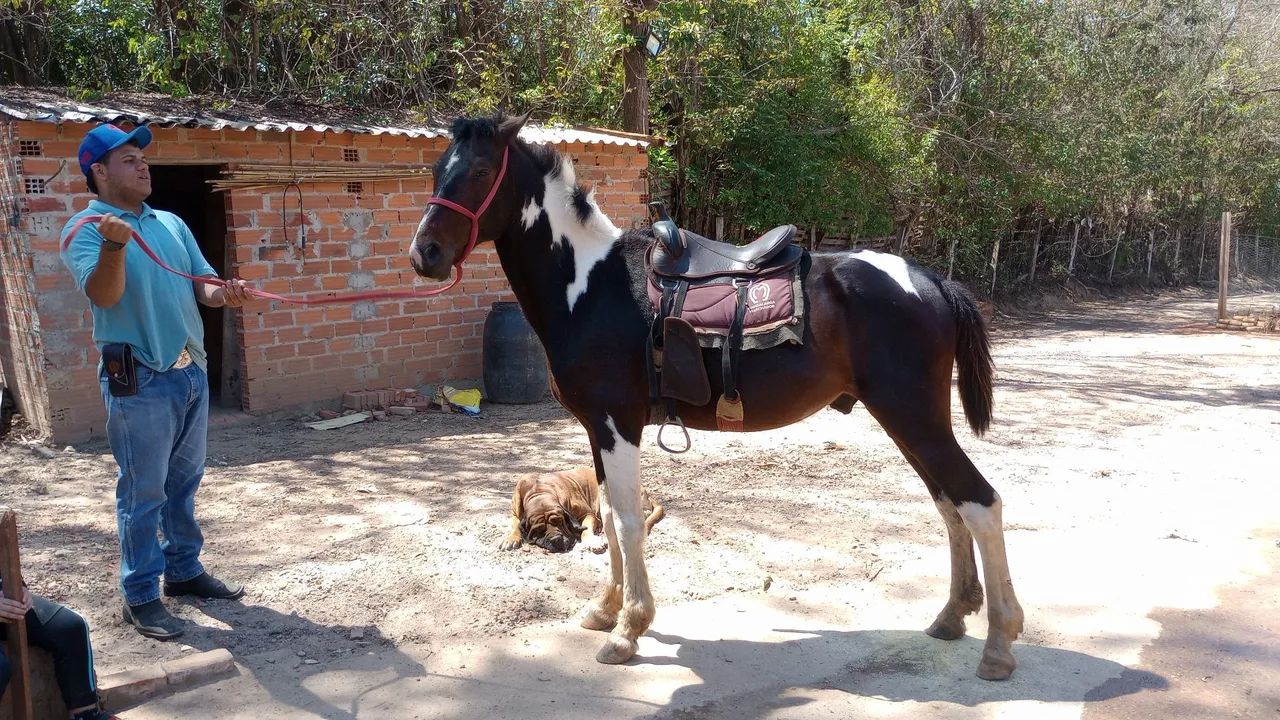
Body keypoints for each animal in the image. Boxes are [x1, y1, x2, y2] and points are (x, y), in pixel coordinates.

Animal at [407, 113, 1025, 680]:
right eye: (437, 171)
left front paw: (628, 630)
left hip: (913, 416)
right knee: (949, 503)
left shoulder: (617, 423)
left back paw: (999, 643)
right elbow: (606, 516)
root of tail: (931, 281)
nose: (425, 254)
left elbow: (626, 521)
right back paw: (952, 616)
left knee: (981, 502)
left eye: (480, 171)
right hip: (907, 420)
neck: (589, 287)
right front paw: (605, 611)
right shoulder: (596, 427)